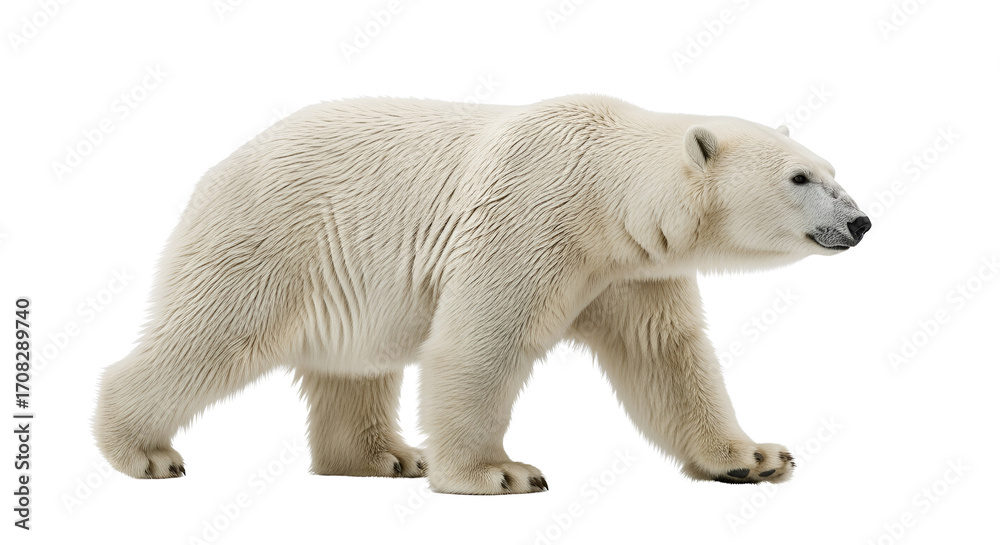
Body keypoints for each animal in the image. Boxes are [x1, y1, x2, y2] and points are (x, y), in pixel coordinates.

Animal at [94, 95, 870, 494]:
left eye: (832, 168)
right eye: (801, 178)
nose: (861, 221)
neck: (607, 193)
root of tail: (217, 166)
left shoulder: (630, 269)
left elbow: (666, 356)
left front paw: (754, 457)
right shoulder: (533, 214)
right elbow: (483, 339)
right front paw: (497, 471)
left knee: (357, 363)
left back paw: (385, 458)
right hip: (276, 234)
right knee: (214, 333)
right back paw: (144, 453)